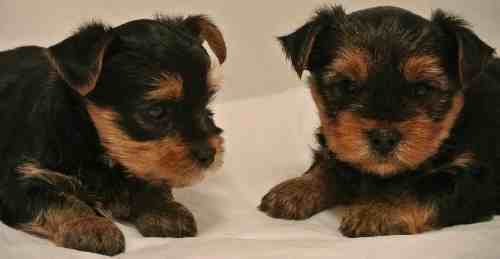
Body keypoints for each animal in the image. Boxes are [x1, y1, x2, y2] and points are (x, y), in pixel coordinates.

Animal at [0, 14, 227, 256]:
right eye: (156, 111)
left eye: (206, 104)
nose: (209, 155)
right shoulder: (19, 182)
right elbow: (60, 200)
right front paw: (92, 225)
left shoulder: (142, 164)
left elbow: (151, 180)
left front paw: (167, 211)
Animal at [260, 5, 500, 238]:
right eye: (347, 85)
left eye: (422, 89)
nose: (384, 138)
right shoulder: (338, 149)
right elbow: (329, 165)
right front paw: (296, 189)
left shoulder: (476, 176)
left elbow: (428, 187)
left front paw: (378, 210)